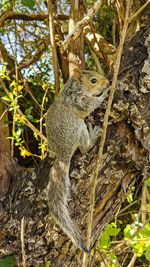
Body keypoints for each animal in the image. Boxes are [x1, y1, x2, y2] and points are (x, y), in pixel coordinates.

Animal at [45, 68, 109, 254]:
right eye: (94, 80)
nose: (107, 82)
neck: (74, 88)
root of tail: (63, 152)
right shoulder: (80, 102)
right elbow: (92, 104)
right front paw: (106, 93)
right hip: (78, 128)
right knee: (84, 148)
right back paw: (93, 136)